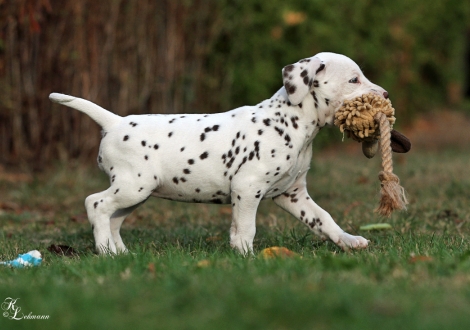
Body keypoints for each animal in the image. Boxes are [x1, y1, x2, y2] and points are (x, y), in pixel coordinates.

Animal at [50, 52, 408, 255]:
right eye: (354, 79)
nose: (387, 94)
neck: (291, 121)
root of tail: (114, 121)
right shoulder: (247, 188)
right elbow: (246, 227)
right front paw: (245, 255)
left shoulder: (293, 194)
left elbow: (324, 219)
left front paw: (348, 241)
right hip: (132, 186)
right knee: (96, 205)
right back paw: (104, 251)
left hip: (137, 193)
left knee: (112, 219)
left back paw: (118, 253)